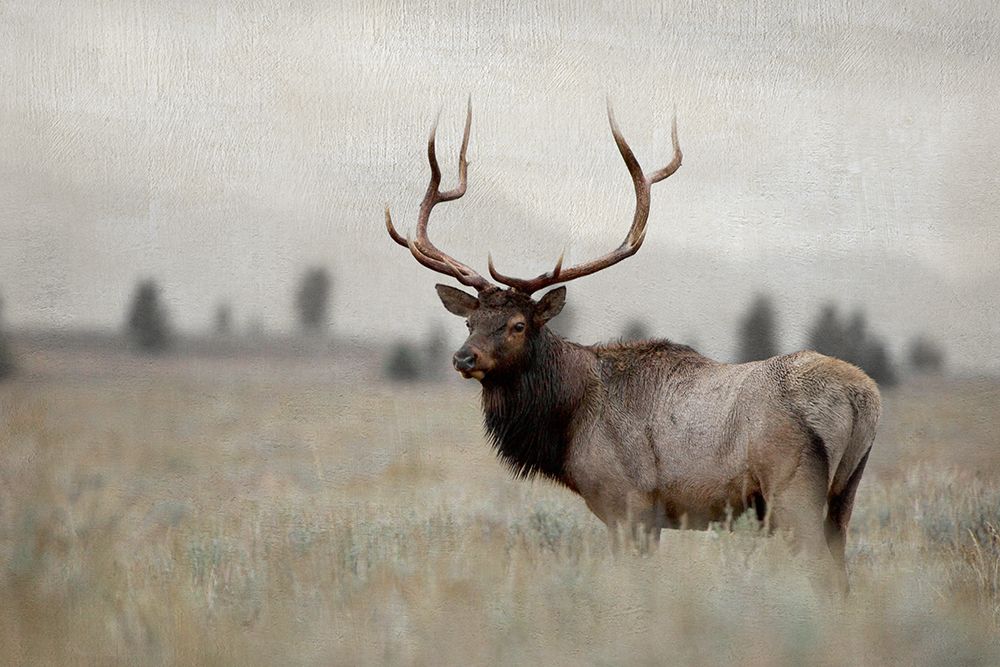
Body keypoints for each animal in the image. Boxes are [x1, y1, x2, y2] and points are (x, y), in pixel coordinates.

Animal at [384, 99, 881, 593]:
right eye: (470, 321)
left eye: (518, 324)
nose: (463, 357)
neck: (569, 420)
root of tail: (862, 398)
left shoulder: (628, 502)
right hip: (844, 494)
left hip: (793, 490)